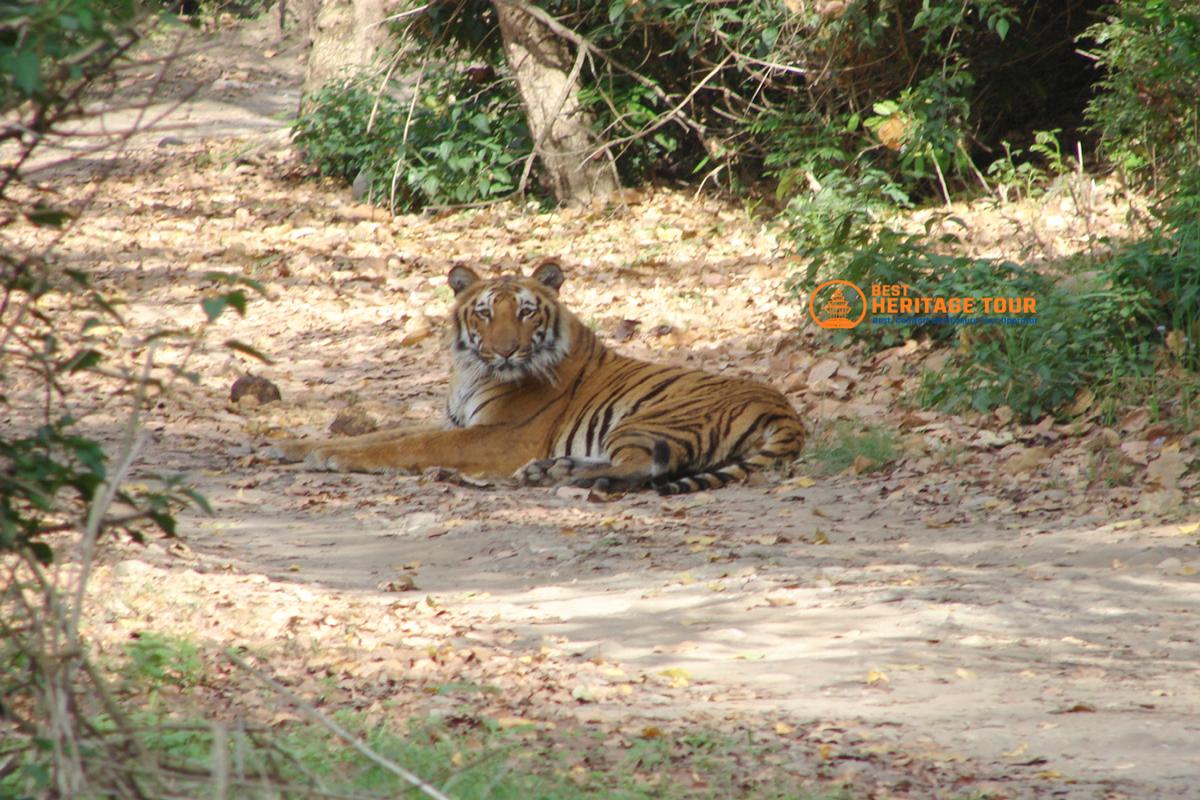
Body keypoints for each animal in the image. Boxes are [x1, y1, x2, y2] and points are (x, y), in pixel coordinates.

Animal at [274, 260, 806, 494]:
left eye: (527, 312)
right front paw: (296, 446)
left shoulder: (500, 437)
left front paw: (328, 458)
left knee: (645, 467)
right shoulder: (455, 423)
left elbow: (406, 446)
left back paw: (555, 473)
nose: (506, 349)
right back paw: (552, 469)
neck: (470, 370)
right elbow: (385, 433)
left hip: (651, 419)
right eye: (485, 313)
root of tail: (788, 413)